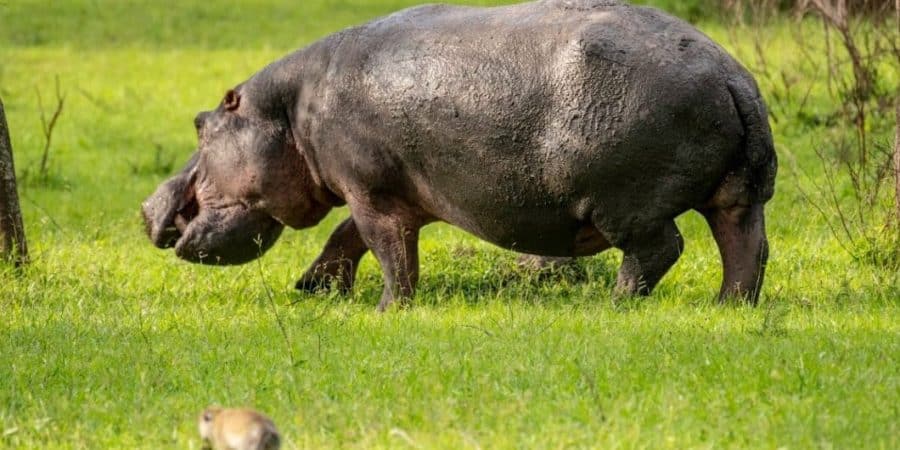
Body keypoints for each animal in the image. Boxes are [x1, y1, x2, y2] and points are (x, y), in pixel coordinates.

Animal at [142, 0, 776, 311]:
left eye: (200, 125)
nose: (147, 208)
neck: (289, 109)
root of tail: (731, 75)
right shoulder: (389, 190)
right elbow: (345, 238)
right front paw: (313, 289)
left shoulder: (371, 192)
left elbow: (386, 249)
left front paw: (387, 310)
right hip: (737, 195)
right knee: (746, 247)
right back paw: (728, 307)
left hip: (623, 204)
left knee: (660, 249)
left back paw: (616, 305)